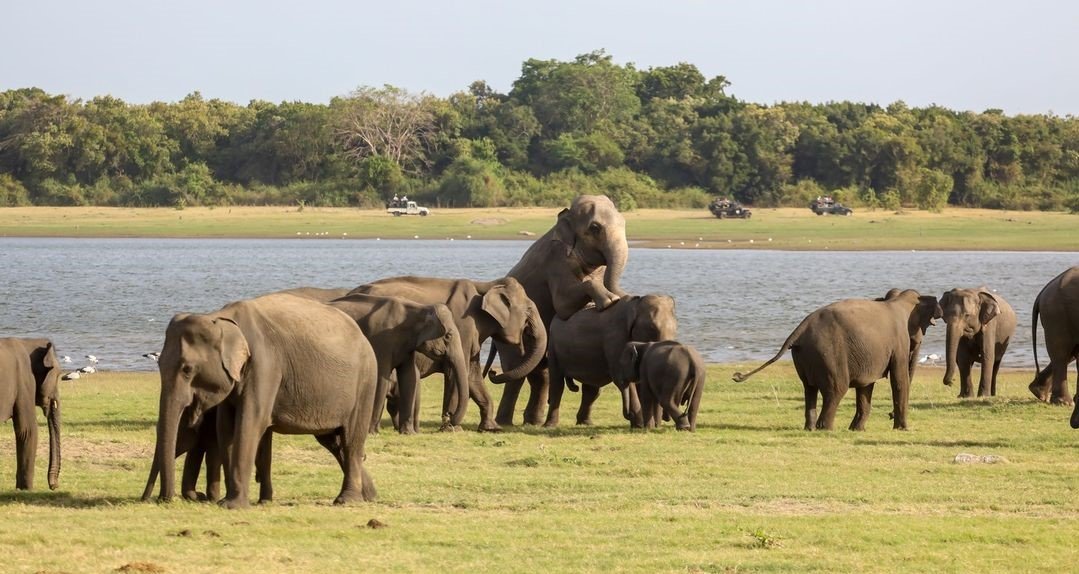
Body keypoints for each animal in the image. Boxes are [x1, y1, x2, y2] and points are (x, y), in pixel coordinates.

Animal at [149, 293, 379, 509]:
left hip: (365, 384)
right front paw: (230, 501)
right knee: (332, 440)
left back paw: (347, 500)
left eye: (187, 369)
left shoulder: (265, 363)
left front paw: (232, 505)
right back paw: (370, 496)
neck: (220, 318)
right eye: (158, 363)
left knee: (351, 440)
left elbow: (251, 422)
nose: (163, 499)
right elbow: (226, 428)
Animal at [349, 276, 543, 431]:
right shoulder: (463, 327)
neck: (486, 285)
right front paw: (452, 428)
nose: (494, 371)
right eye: (528, 311)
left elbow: (471, 375)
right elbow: (456, 372)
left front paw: (491, 428)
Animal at [729, 291, 940, 431]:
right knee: (836, 389)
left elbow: (866, 386)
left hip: (805, 356)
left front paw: (857, 430)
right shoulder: (899, 343)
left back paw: (811, 428)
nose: (889, 416)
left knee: (809, 389)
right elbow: (899, 380)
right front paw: (903, 429)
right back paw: (825, 429)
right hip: (829, 354)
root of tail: (800, 328)